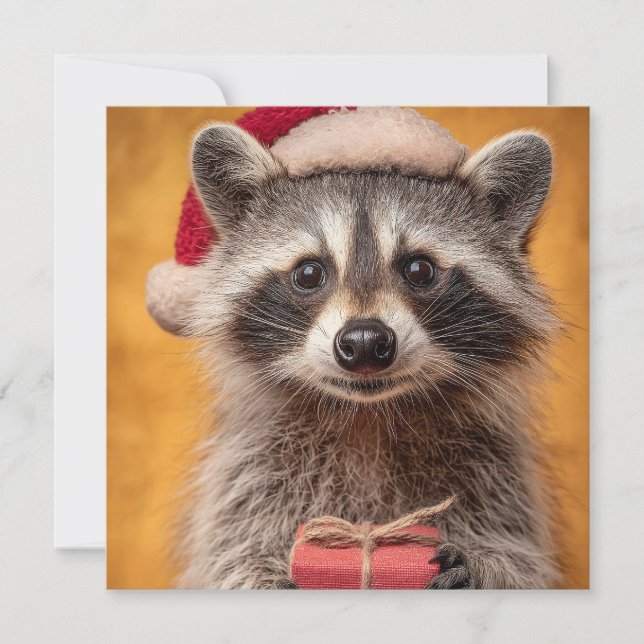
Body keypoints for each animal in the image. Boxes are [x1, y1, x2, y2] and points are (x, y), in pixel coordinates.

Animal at [174, 119, 560, 589]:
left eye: (419, 269)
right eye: (309, 272)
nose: (363, 342)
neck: (367, 418)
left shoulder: (495, 474)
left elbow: (521, 563)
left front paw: (487, 567)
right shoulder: (250, 472)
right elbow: (230, 556)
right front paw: (260, 576)